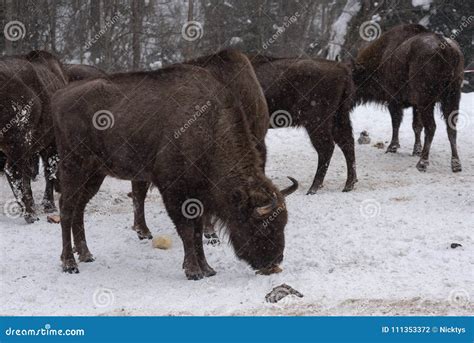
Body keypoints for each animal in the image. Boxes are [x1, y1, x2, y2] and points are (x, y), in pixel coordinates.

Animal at [0, 51, 67, 223]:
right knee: (14, 171)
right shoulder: (51, 144)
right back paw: (30, 214)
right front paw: (49, 204)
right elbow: (49, 171)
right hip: (19, 140)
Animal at [51, 49, 296, 280]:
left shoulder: (198, 197)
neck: (208, 128)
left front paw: (207, 269)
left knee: (79, 208)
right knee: (66, 208)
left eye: (283, 223)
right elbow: (187, 230)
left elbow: (197, 231)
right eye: (262, 225)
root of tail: (60, 96)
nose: (274, 261)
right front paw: (193, 271)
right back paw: (70, 264)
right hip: (74, 167)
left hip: (94, 175)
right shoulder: (174, 192)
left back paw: (86, 255)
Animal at [252, 56, 356, 196]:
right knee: (346, 142)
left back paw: (313, 189)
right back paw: (348, 185)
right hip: (339, 117)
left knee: (327, 148)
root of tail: (342, 68)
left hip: (316, 123)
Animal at [354, 23, 464, 172]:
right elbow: (416, 126)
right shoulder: (415, 105)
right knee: (451, 127)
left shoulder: (394, 101)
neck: (382, 56)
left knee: (432, 127)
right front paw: (416, 150)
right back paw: (456, 164)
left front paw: (392, 147)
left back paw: (422, 163)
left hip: (428, 100)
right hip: (452, 97)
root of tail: (446, 48)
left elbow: (396, 123)